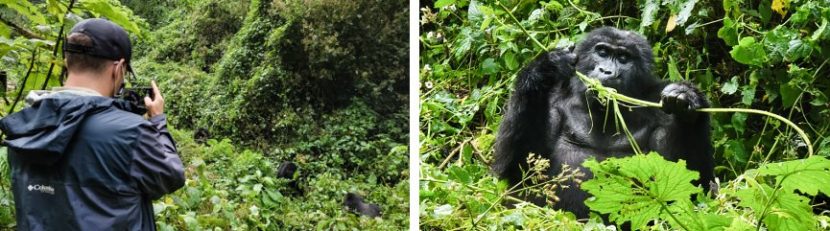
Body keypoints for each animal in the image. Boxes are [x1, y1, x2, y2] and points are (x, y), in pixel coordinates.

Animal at [494, 27, 716, 218]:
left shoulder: (658, 104)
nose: (606, 71)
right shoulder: (554, 97)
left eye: (623, 58)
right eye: (601, 52)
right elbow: (520, 168)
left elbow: (691, 187)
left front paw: (686, 101)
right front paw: (545, 68)